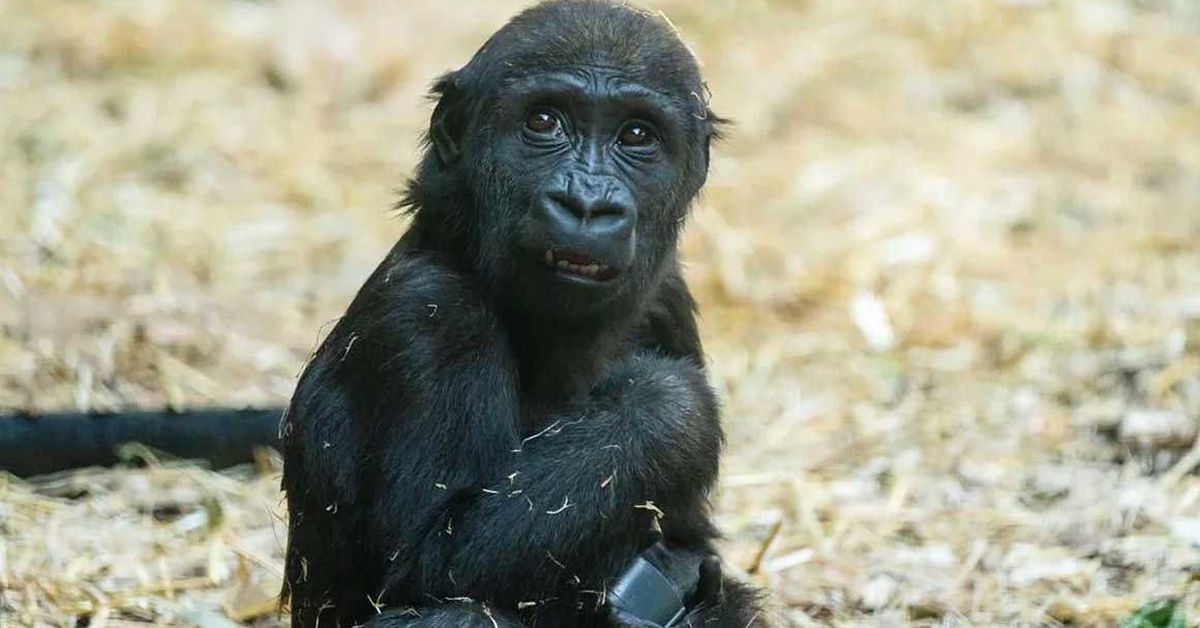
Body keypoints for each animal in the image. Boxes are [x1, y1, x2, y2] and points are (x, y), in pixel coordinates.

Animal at [283, 1, 758, 628]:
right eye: (544, 122)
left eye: (636, 135)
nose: (587, 204)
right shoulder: (431, 314)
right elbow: (430, 560)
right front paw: (668, 409)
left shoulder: (668, 302)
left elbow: (696, 549)